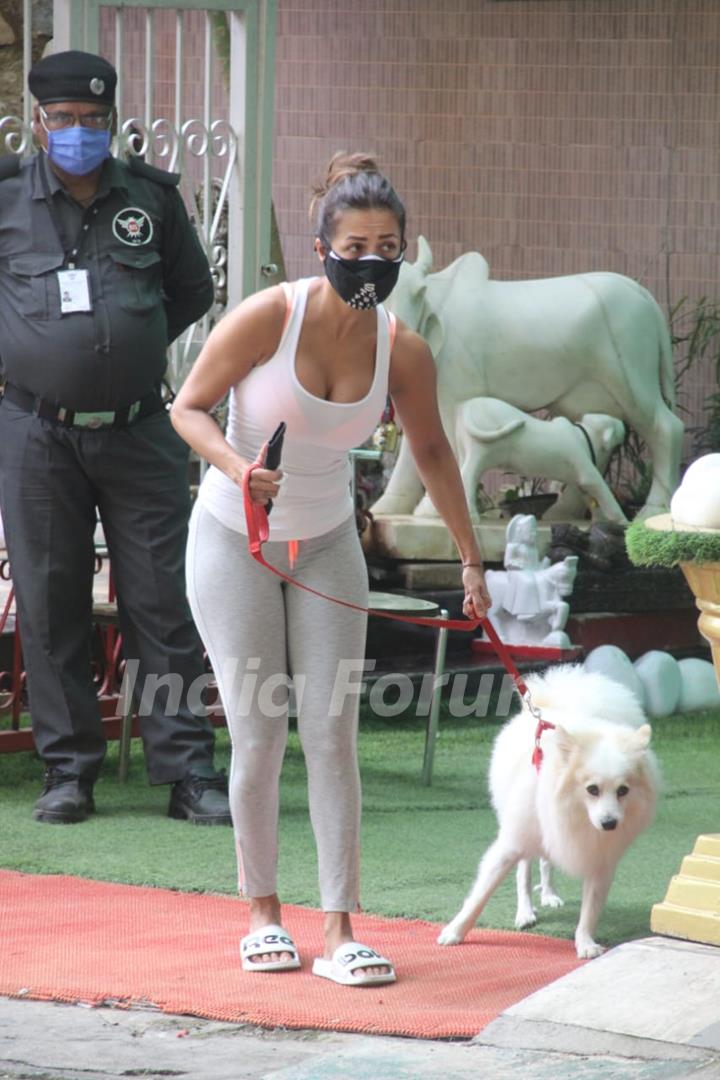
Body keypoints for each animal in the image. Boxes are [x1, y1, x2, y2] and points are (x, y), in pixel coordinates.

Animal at [436, 665, 660, 963]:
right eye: (592, 790)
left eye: (623, 791)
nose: (609, 823)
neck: (576, 815)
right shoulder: (510, 845)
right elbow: (480, 894)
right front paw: (454, 932)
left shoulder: (599, 860)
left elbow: (590, 910)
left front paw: (585, 943)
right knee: (525, 872)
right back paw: (525, 912)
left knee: (546, 863)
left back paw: (549, 894)